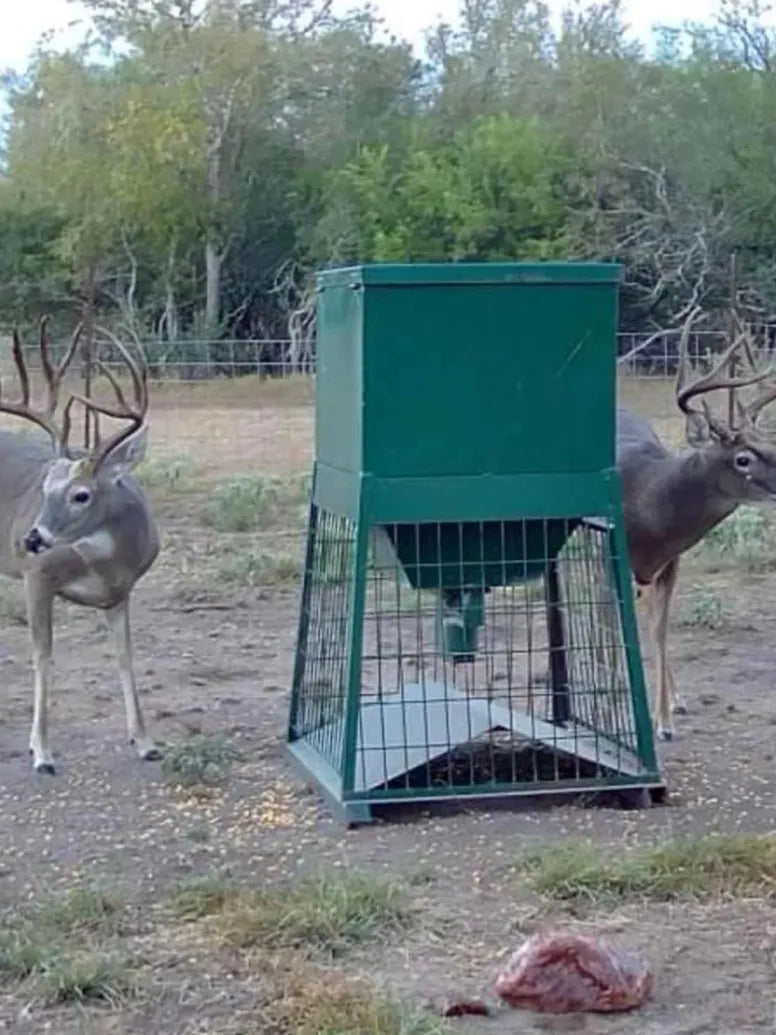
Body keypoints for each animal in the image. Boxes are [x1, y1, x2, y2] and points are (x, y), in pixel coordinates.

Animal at [0, 317, 161, 774]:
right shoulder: (36, 576)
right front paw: (42, 752)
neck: (103, 561)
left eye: (81, 494)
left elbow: (126, 656)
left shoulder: (120, 592)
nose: (30, 538)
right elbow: (43, 656)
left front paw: (145, 741)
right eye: (45, 488)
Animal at [617, 307, 776, 741]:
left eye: (770, 445)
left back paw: (677, 698)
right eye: (742, 458)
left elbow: (659, 629)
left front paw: (666, 718)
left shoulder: (670, 561)